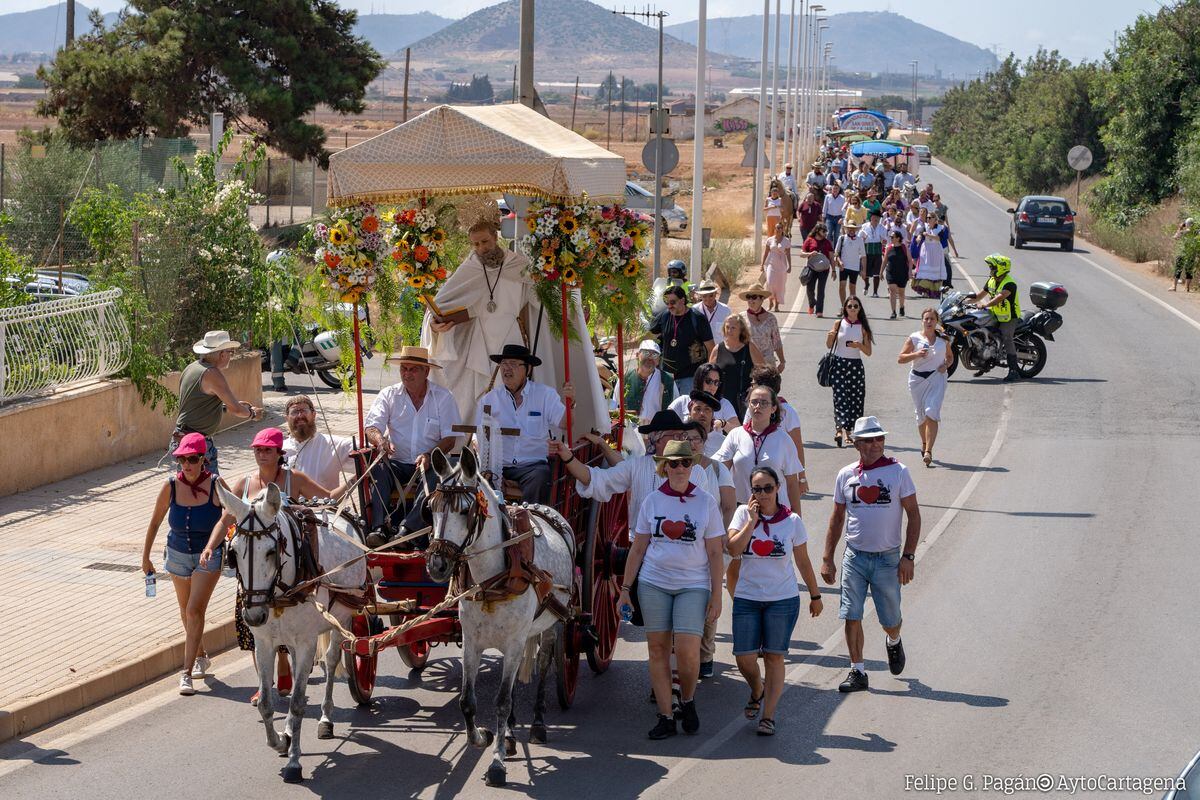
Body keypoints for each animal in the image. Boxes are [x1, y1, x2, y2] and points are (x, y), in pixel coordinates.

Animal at [216, 482, 364, 782]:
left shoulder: (307, 642)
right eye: (233, 553)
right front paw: (280, 741)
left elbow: (296, 703)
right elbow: (266, 703)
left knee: (331, 662)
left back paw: (326, 719)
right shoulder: (264, 642)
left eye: (271, 551)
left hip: (342, 618)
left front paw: (295, 762)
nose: (253, 615)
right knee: (299, 671)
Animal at [427, 450, 576, 786]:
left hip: (550, 625)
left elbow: (501, 701)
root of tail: (542, 508)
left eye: (465, 510)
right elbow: (467, 701)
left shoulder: (513, 642)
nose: (437, 565)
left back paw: (537, 724)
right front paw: (484, 737)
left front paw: (496, 764)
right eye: (432, 507)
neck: (494, 579)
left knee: (543, 665)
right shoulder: (472, 641)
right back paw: (508, 735)